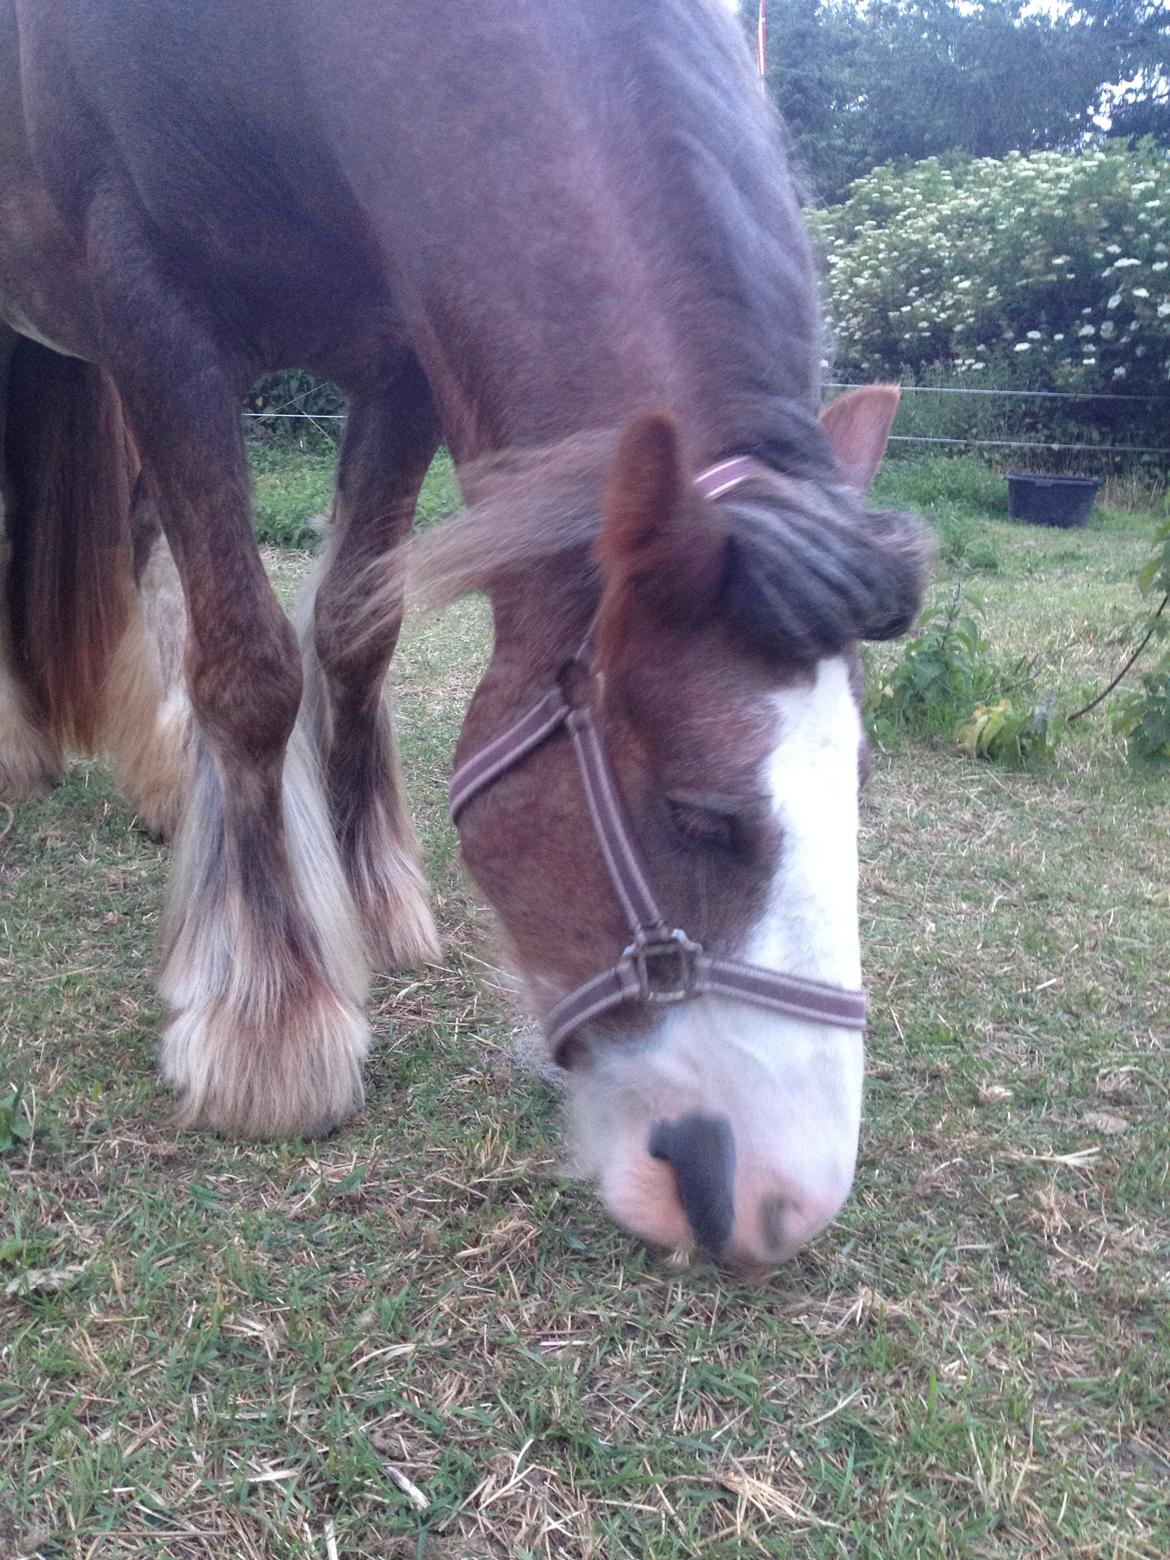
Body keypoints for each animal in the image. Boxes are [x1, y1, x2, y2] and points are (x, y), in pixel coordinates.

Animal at [2, 0, 923, 1272]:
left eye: (860, 788)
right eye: (700, 817)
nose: (781, 1202)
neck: (292, 58)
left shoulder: (399, 355)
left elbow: (353, 627)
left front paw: (370, 899)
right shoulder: (152, 305)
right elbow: (250, 665)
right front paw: (271, 1023)